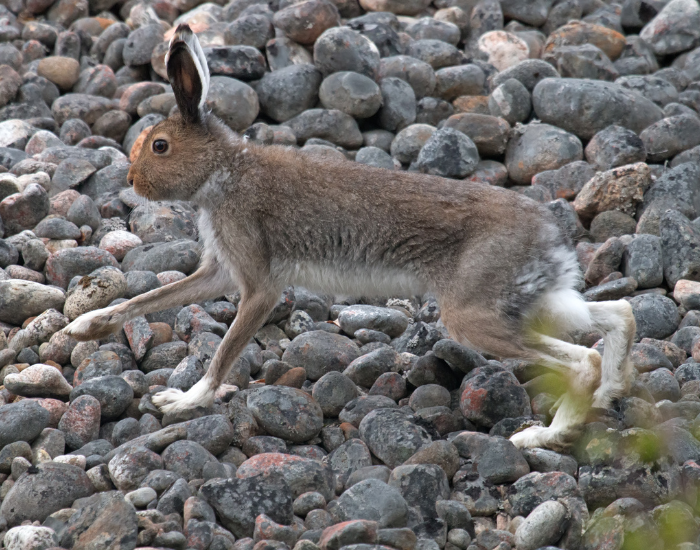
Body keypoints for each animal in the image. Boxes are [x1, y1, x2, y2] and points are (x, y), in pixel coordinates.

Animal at [64, 23, 636, 451]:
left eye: (159, 145)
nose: (132, 181)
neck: (224, 170)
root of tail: (551, 235)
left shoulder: (258, 284)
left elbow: (225, 352)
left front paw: (182, 402)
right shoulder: (221, 271)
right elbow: (149, 299)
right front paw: (84, 327)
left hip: (473, 314)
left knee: (579, 358)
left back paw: (543, 435)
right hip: (529, 301)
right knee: (618, 315)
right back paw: (607, 393)